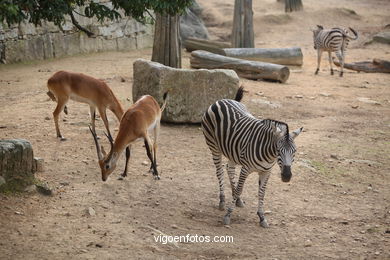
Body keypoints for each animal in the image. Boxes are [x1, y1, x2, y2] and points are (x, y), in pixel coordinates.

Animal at [201, 87, 302, 228]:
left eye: (294, 151)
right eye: (278, 151)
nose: (287, 176)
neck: (269, 155)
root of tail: (223, 100)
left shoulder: (266, 172)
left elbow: (262, 193)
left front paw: (262, 217)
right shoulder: (245, 169)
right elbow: (240, 189)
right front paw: (228, 215)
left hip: (232, 149)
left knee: (229, 168)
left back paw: (237, 200)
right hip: (213, 146)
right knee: (219, 171)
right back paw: (222, 200)